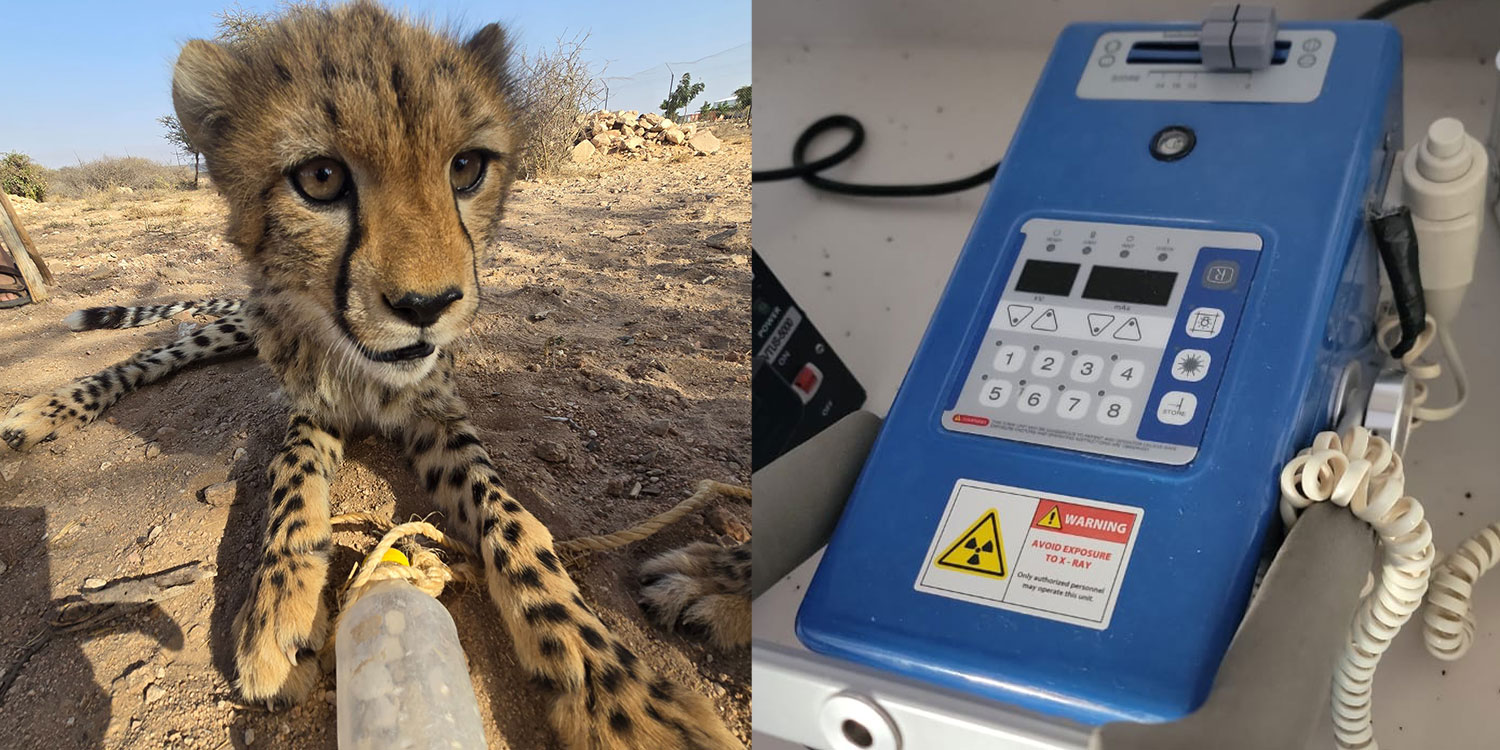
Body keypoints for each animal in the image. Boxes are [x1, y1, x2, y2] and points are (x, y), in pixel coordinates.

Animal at [0, 3, 746, 747]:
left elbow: (514, 525)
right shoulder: (312, 405)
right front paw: (281, 610)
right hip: (250, 322)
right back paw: (44, 411)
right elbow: (291, 481)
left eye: (466, 167)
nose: (426, 306)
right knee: (158, 352)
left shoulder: (438, 415)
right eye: (321, 178)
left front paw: (617, 691)